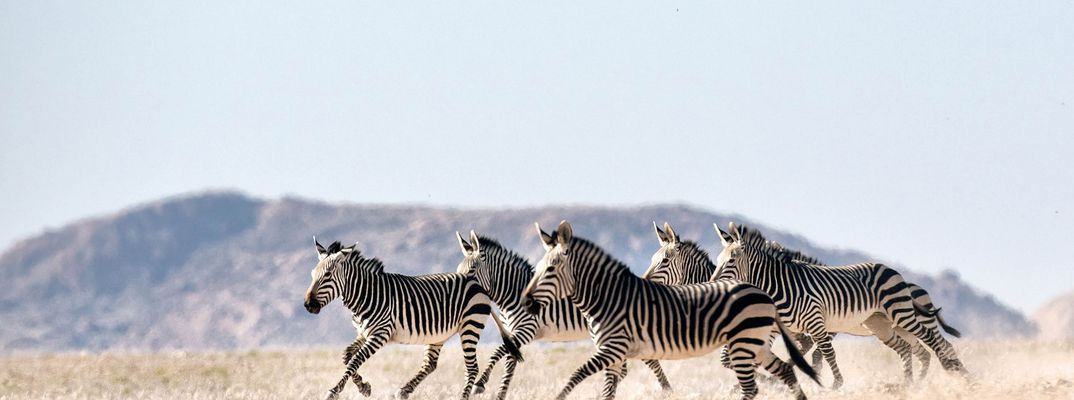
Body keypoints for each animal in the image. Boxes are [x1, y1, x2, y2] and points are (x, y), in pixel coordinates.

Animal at [302, 238, 524, 397]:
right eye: (312, 274)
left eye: (328, 275)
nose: (308, 305)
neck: (367, 294)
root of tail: (478, 285)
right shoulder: (364, 333)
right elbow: (347, 356)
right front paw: (364, 387)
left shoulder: (380, 333)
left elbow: (355, 360)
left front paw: (334, 390)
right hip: (439, 334)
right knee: (430, 364)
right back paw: (404, 390)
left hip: (471, 325)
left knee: (471, 368)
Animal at [451, 230, 670, 397]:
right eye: (458, 269)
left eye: (471, 271)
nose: (459, 291)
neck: (512, 293)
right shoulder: (513, 334)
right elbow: (509, 365)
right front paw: (500, 394)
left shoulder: (527, 329)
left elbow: (498, 352)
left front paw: (480, 384)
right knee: (623, 369)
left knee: (647, 361)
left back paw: (667, 389)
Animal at [517, 221, 811, 400]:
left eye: (551, 269)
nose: (526, 303)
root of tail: (762, 293)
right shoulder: (616, 353)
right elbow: (607, 389)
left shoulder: (613, 349)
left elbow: (576, 374)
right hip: (756, 341)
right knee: (789, 365)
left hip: (748, 340)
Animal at [640, 221, 962, 378]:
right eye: (654, 259)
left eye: (664, 261)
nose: (643, 282)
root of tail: (912, 284)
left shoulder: (793, 329)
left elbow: (816, 356)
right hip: (885, 327)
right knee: (917, 351)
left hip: (906, 319)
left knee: (938, 345)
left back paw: (956, 374)